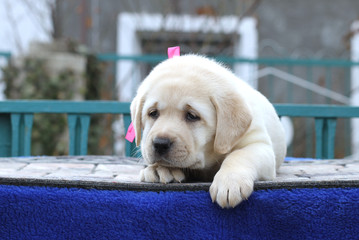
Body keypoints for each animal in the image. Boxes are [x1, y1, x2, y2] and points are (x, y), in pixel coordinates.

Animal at [131, 54, 286, 208]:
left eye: (192, 116)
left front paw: (229, 181)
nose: (160, 143)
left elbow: (240, 155)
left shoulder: (258, 144)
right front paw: (160, 168)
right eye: (153, 113)